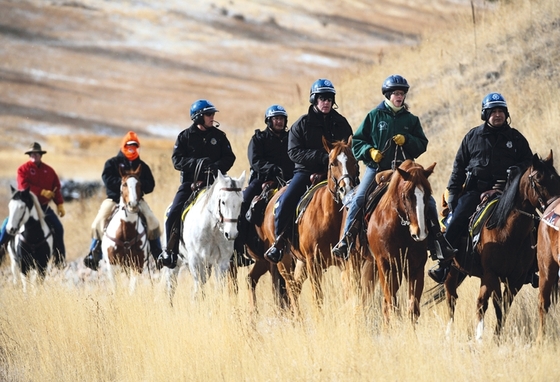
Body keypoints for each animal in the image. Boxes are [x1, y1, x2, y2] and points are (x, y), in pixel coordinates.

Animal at [101, 164, 149, 292]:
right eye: (124, 184)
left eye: (139, 184)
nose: (133, 205)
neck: (125, 233)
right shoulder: (112, 266)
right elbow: (115, 288)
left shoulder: (137, 265)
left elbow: (132, 289)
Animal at [160, 170, 243, 302]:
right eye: (223, 201)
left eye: (241, 203)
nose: (231, 234)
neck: (212, 229)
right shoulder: (196, 260)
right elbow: (199, 288)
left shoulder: (222, 262)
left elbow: (218, 289)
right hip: (174, 264)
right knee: (171, 287)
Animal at [255, 136, 358, 312]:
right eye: (332, 163)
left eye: (354, 161)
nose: (346, 189)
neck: (328, 216)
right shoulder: (313, 264)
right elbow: (318, 299)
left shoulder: (344, 262)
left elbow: (349, 291)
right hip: (284, 261)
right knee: (291, 288)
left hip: (301, 262)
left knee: (295, 288)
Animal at [364, 158, 438, 322]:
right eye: (406, 196)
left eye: (428, 194)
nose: (419, 233)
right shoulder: (386, 265)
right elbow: (392, 305)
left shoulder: (416, 267)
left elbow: (413, 309)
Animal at [442, 152, 560, 340]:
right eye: (538, 180)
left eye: (557, 178)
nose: (553, 208)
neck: (507, 232)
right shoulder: (493, 274)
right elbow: (496, 305)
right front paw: (491, 338)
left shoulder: (515, 280)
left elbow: (504, 307)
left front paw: (497, 336)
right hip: (453, 269)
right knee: (452, 298)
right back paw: (450, 333)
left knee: (479, 302)